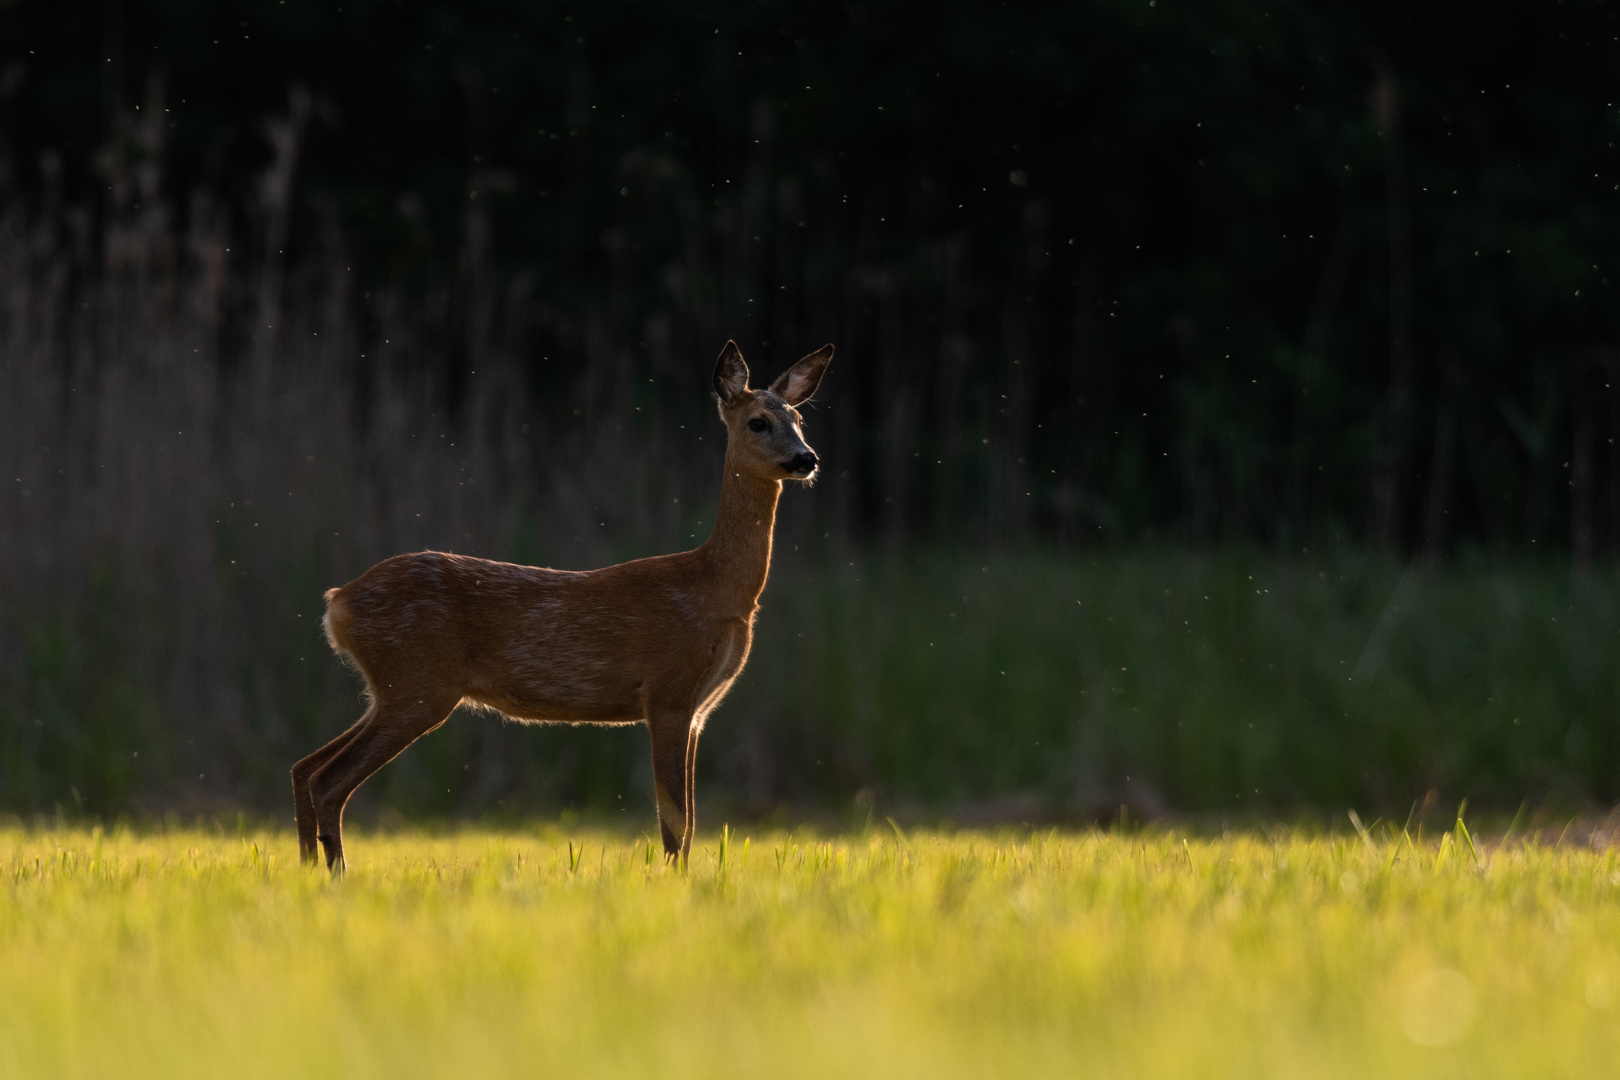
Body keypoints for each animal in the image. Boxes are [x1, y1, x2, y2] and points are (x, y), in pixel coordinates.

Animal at [288, 341, 835, 874]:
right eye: (757, 422)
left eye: (799, 419)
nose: (806, 458)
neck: (717, 591)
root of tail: (338, 603)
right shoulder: (668, 691)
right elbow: (675, 823)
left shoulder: (700, 708)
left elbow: (690, 823)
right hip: (417, 683)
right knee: (329, 780)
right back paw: (335, 874)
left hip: (393, 688)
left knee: (305, 766)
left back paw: (309, 871)